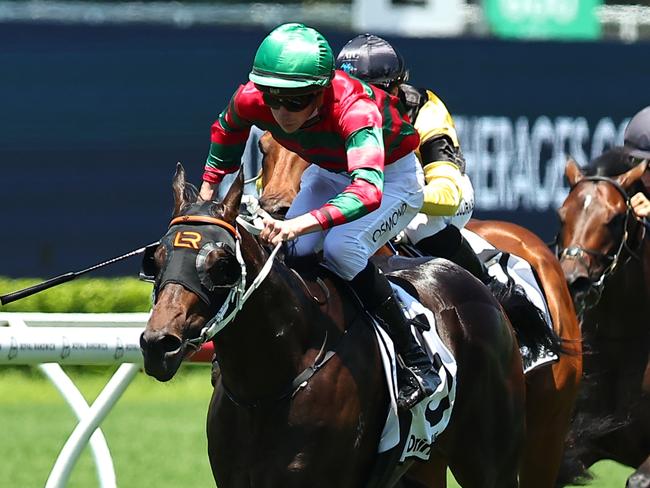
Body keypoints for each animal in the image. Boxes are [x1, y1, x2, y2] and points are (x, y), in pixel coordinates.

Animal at [139, 165, 524, 488]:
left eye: (221, 264)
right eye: (155, 259)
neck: (266, 388)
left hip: (491, 459)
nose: (159, 343)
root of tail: (478, 284)